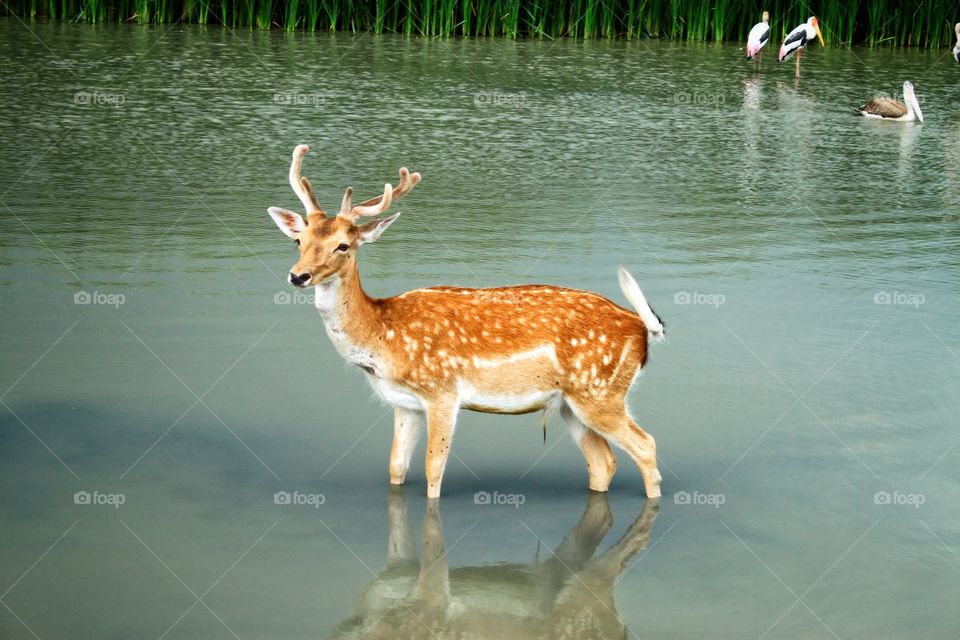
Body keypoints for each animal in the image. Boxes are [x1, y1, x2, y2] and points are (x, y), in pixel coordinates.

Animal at [266, 145, 664, 500]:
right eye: (298, 240)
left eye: (344, 245)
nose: (298, 276)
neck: (382, 336)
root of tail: (641, 327)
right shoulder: (404, 404)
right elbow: (396, 466)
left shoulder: (442, 391)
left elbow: (433, 468)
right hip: (571, 403)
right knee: (602, 463)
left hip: (600, 391)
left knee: (646, 446)